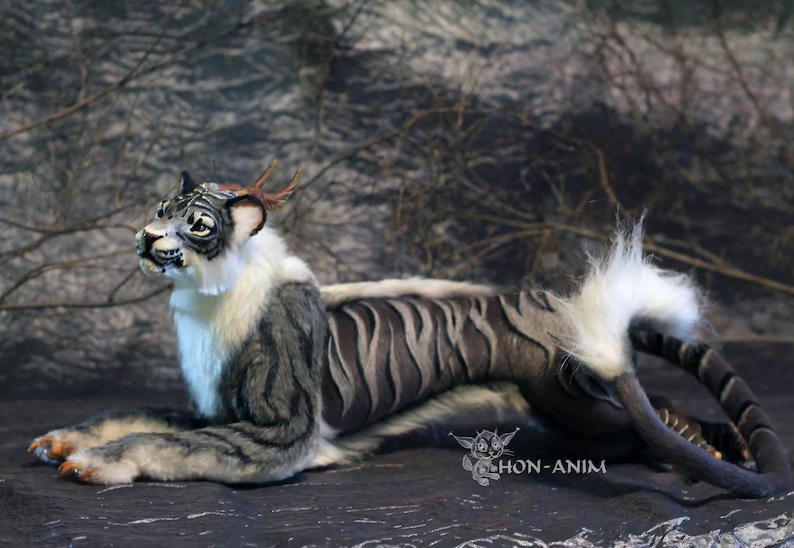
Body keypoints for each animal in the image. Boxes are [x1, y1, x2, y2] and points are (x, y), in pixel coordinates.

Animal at [28, 163, 791, 497]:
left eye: (195, 222)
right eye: (159, 206)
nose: (145, 236)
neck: (204, 299)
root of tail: (558, 305)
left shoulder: (274, 434)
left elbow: (161, 442)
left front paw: (97, 463)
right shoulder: (213, 409)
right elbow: (135, 415)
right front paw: (61, 440)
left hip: (577, 399)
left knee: (661, 415)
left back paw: (720, 454)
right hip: (564, 410)